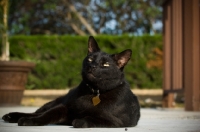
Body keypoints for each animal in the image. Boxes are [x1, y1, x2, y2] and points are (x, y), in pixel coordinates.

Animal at [2, 36, 141, 128]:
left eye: (105, 64)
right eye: (90, 59)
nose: (92, 66)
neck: (95, 92)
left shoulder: (117, 121)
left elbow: (96, 118)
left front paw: (80, 120)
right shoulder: (64, 107)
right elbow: (46, 115)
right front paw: (31, 122)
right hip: (55, 102)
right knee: (37, 112)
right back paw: (12, 116)